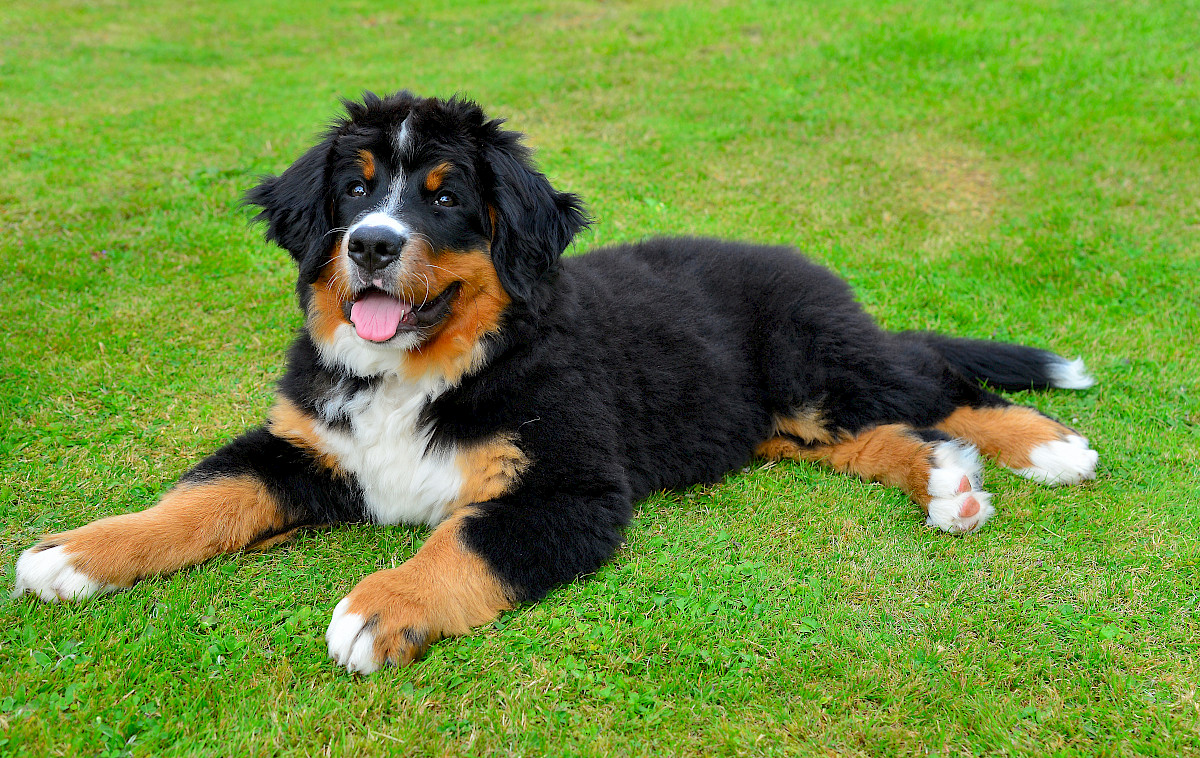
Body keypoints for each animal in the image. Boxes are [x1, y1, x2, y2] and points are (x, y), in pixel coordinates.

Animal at [11, 90, 1099, 676]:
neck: (428, 370)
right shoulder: (308, 447)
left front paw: (380, 607)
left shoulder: (569, 484)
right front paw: (79, 553)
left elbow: (464, 543)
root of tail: (813, 268)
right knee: (878, 434)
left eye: (446, 198)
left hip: (818, 359)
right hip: (785, 418)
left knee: (934, 378)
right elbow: (202, 497)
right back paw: (950, 486)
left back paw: (1045, 444)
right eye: (354, 190)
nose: (370, 246)